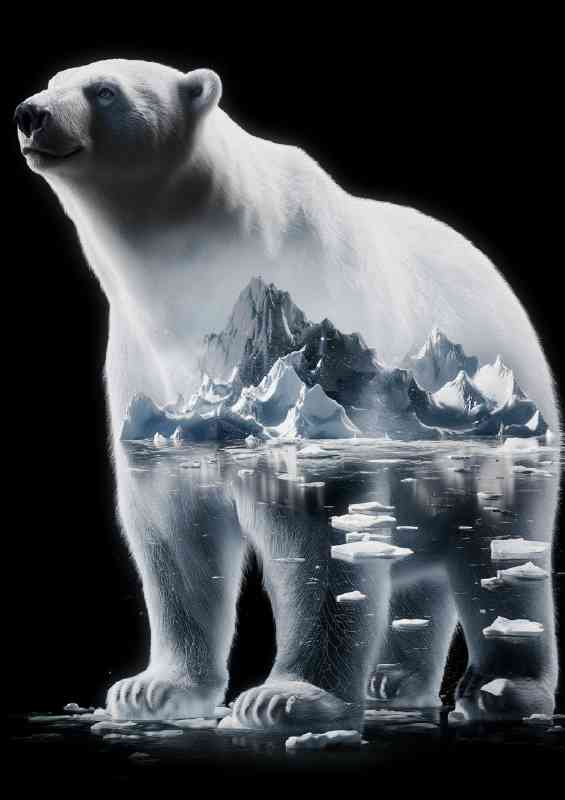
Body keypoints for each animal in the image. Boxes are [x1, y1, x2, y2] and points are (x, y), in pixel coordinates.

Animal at [15, 59, 560, 729]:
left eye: (104, 91)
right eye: (54, 80)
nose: (31, 114)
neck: (198, 271)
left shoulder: (313, 348)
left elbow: (321, 526)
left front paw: (286, 697)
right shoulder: (146, 365)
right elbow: (175, 528)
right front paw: (151, 689)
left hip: (497, 430)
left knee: (498, 554)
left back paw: (502, 689)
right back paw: (392, 678)